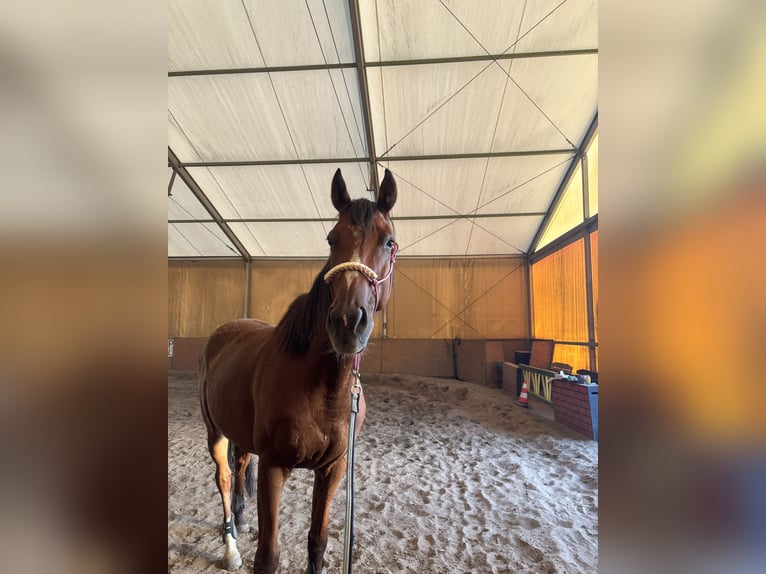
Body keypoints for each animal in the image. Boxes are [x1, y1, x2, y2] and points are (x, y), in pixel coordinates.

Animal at [198, 168, 398, 573]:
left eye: (389, 242)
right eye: (332, 239)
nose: (347, 322)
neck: (323, 390)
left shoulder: (333, 470)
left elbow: (317, 542)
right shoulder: (274, 468)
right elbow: (268, 556)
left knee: (240, 466)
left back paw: (240, 519)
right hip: (215, 433)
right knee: (224, 477)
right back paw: (230, 545)